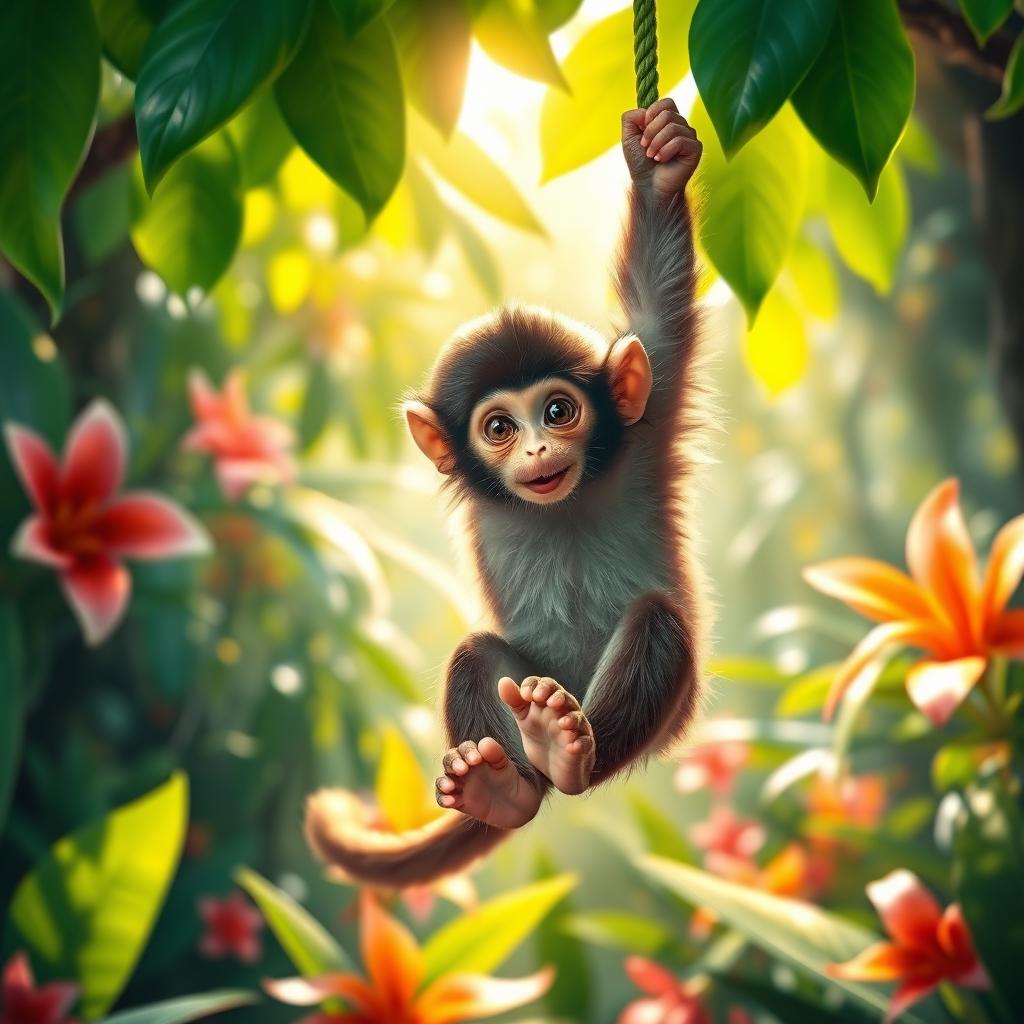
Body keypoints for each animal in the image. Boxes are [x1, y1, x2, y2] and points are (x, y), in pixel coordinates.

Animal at [305, 97, 707, 887]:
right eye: (499, 426)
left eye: (558, 411)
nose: (538, 449)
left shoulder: (643, 423)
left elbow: (657, 314)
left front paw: (660, 164)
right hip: (521, 696)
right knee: (476, 657)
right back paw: (504, 791)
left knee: (655, 624)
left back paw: (567, 752)